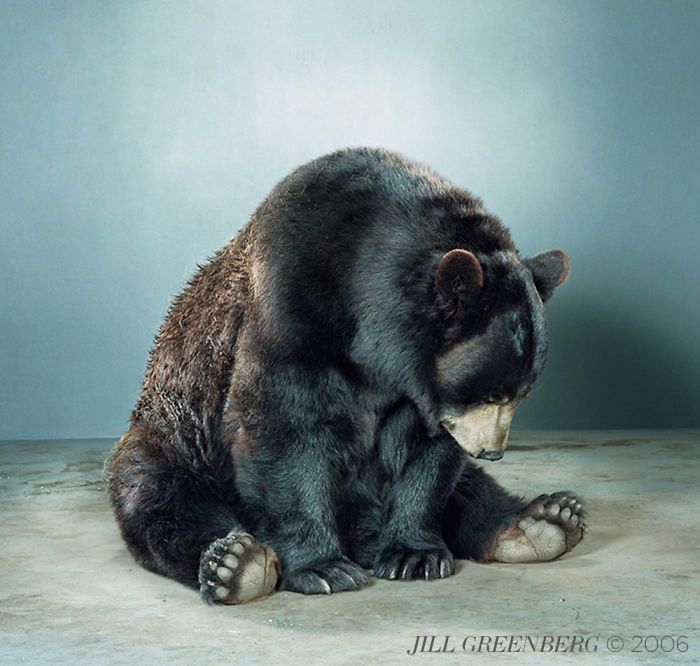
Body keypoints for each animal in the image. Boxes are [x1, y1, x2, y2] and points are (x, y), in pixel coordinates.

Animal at [105, 147, 584, 605]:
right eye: (491, 394)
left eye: (521, 394)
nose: (493, 451)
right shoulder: (292, 314)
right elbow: (283, 429)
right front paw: (323, 568)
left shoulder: (418, 389)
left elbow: (428, 454)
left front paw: (415, 555)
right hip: (175, 438)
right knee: (161, 495)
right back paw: (236, 563)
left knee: (470, 487)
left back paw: (543, 522)